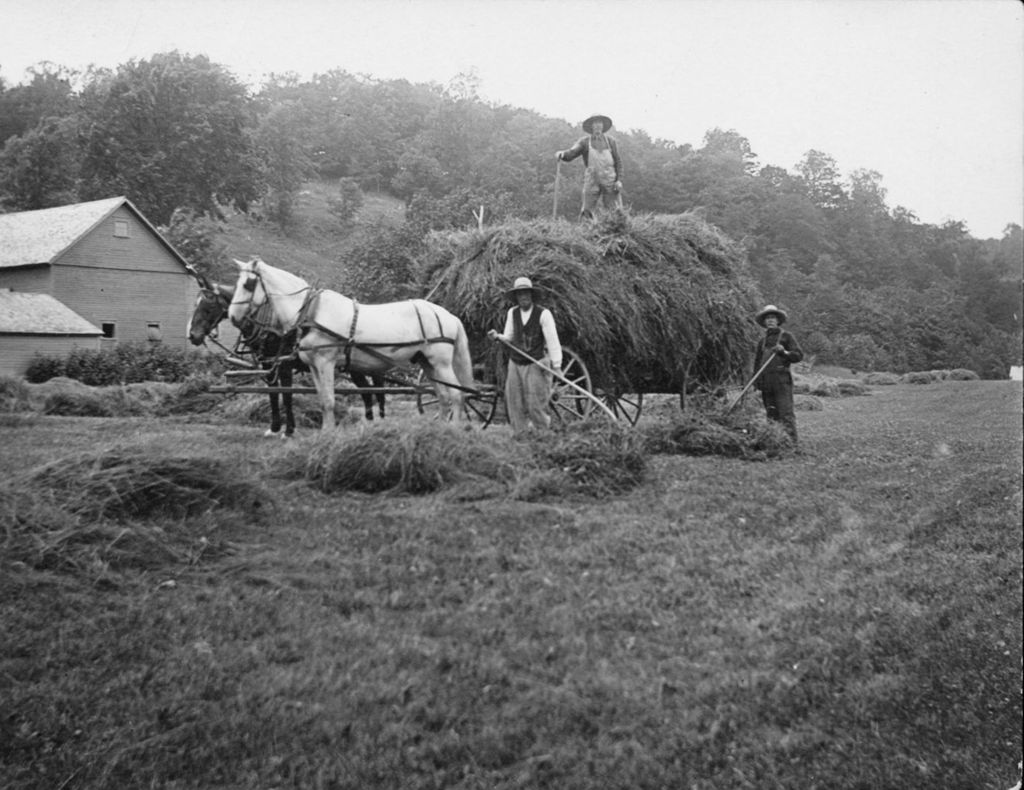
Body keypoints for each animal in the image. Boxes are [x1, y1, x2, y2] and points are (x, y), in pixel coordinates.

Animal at [186, 280, 385, 436]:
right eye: (195, 305)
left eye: (209, 307)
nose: (192, 335)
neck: (272, 325)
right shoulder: (268, 365)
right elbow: (273, 395)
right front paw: (274, 427)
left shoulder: (284, 365)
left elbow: (287, 395)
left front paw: (289, 430)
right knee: (368, 392)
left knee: (370, 392)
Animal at [226, 258, 473, 432]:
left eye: (248, 284)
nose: (233, 316)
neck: (311, 311)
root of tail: (448, 315)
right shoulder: (314, 365)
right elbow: (323, 400)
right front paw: (325, 433)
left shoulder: (325, 362)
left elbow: (328, 401)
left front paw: (328, 435)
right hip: (427, 363)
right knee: (442, 396)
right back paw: (436, 430)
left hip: (441, 364)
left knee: (457, 395)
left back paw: (452, 430)